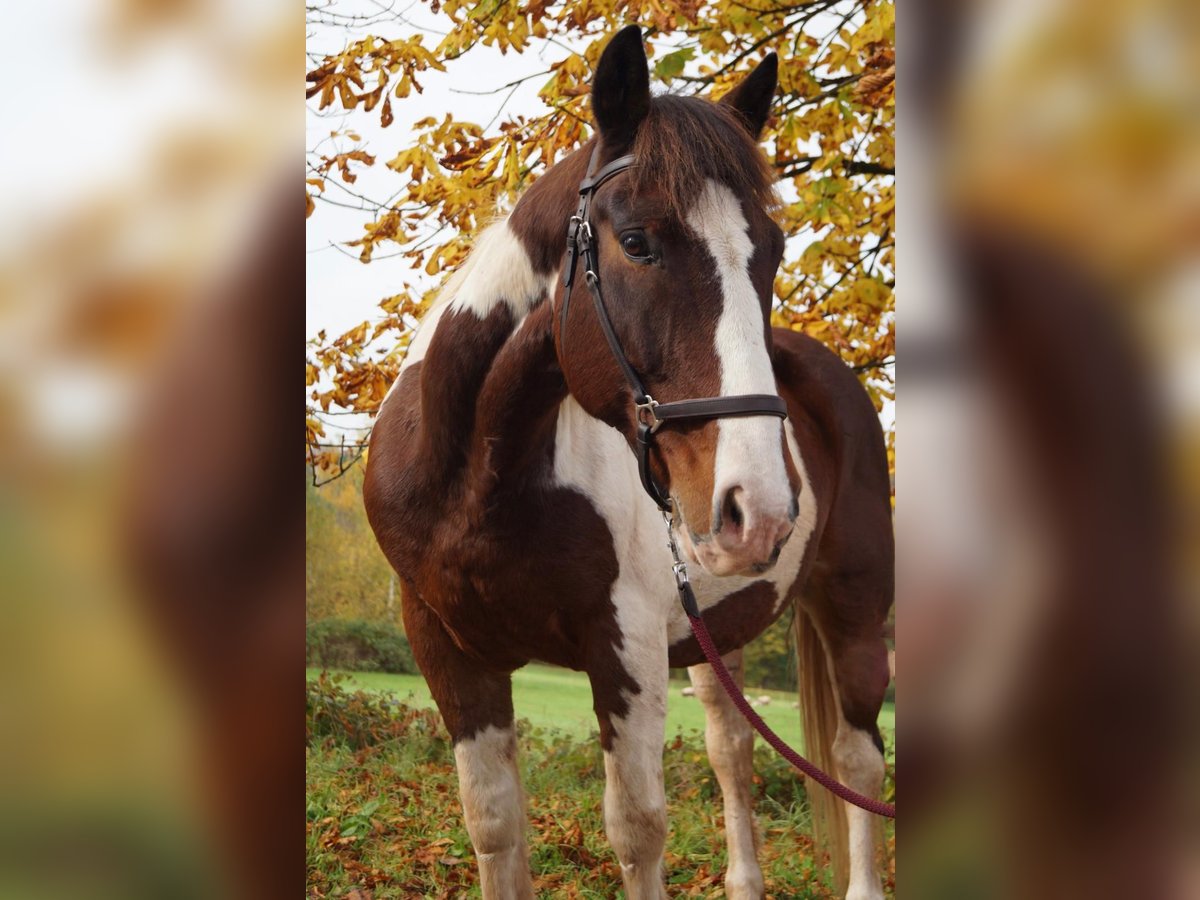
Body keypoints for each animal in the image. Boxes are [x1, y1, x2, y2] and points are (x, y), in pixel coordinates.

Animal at [362, 24, 892, 897]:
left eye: (774, 251)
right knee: (732, 749)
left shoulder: (627, 646)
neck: (480, 482)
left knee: (857, 761)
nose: (760, 508)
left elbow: (637, 830)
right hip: (719, 627)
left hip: (852, 610)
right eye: (637, 242)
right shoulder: (446, 648)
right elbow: (494, 823)